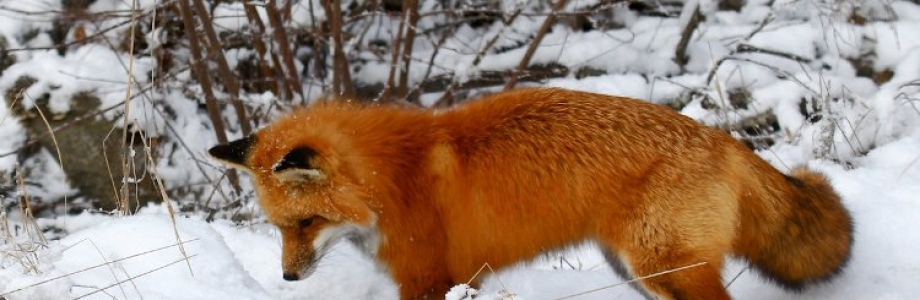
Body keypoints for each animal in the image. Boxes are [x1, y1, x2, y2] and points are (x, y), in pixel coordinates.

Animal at [210, 88, 856, 300]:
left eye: (305, 223)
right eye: (278, 228)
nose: (288, 277)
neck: (393, 180)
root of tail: (718, 136)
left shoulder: (429, 280)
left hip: (664, 266)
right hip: (637, 272)